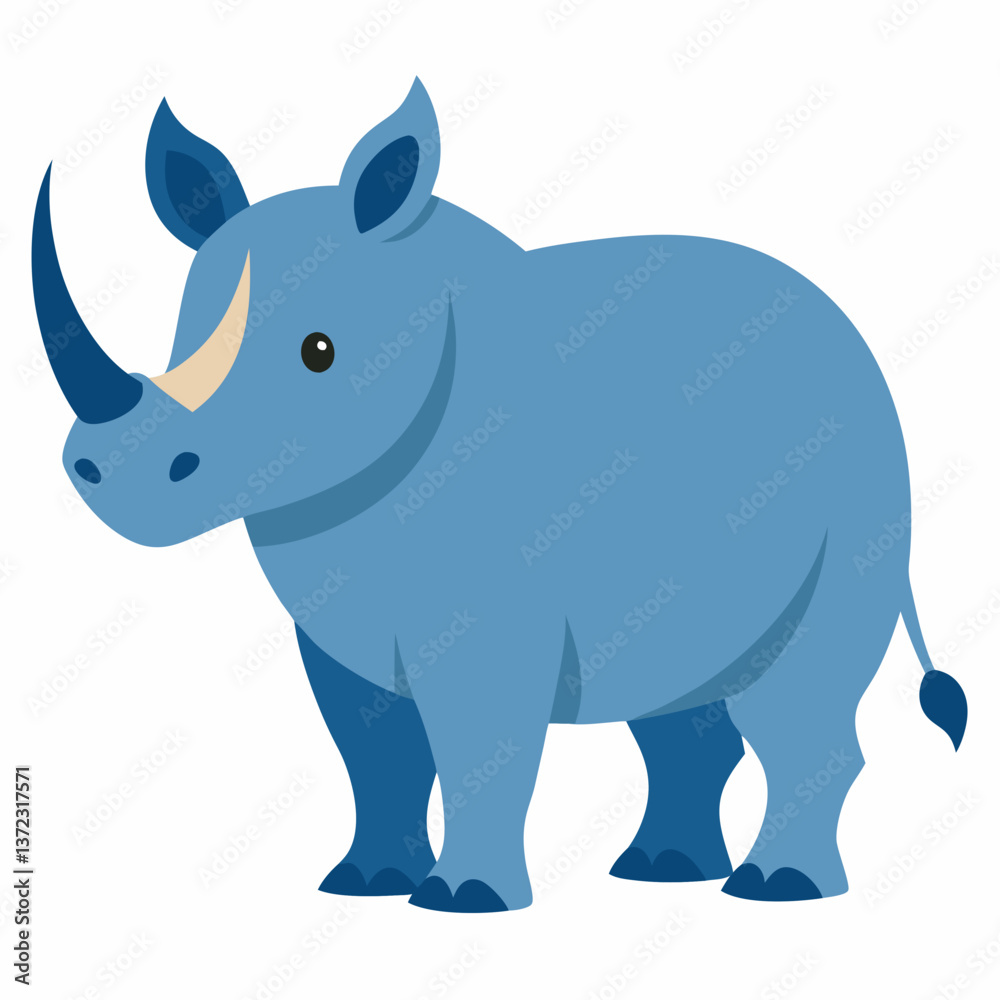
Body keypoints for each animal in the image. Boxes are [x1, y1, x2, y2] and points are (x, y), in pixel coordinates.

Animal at [33, 78, 968, 912]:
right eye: (179, 339)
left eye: (319, 352)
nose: (113, 470)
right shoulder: (337, 614)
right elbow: (374, 753)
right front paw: (364, 885)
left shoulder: (489, 612)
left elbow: (481, 749)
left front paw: (463, 902)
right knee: (680, 685)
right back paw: (661, 874)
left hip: (862, 482)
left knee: (797, 697)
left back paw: (777, 890)